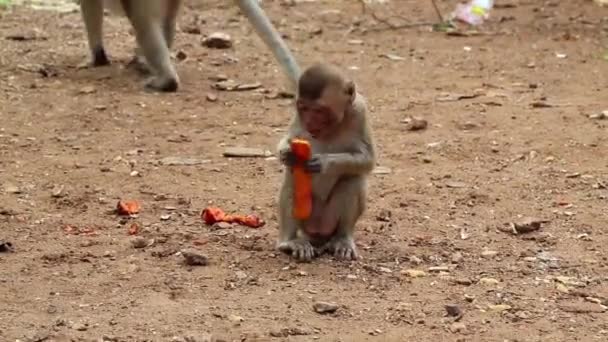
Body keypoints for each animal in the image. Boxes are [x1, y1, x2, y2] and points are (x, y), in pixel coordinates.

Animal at [276, 63, 376, 262]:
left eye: (319, 110)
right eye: (303, 108)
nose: (309, 122)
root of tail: (318, 232)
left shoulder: (360, 111)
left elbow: (368, 159)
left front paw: (324, 162)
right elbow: (289, 138)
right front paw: (287, 153)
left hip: (328, 220)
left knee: (353, 179)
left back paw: (343, 239)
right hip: (306, 217)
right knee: (292, 178)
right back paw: (290, 242)